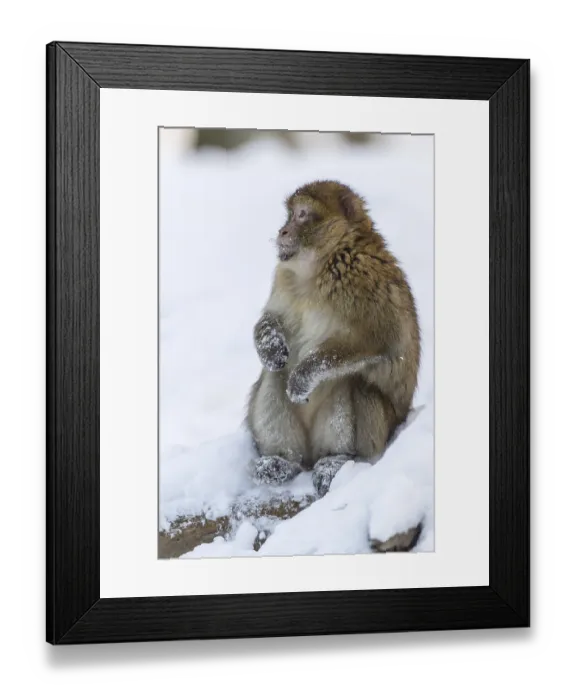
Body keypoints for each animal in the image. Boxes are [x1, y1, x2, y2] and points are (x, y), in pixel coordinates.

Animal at [245, 180, 421, 498]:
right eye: (290, 214)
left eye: (302, 214)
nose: (283, 231)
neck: (320, 266)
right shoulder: (283, 277)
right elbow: (271, 320)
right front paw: (270, 345)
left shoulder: (365, 281)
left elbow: (377, 342)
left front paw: (304, 375)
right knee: (273, 375)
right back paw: (281, 461)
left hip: (380, 427)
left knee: (352, 381)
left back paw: (335, 461)